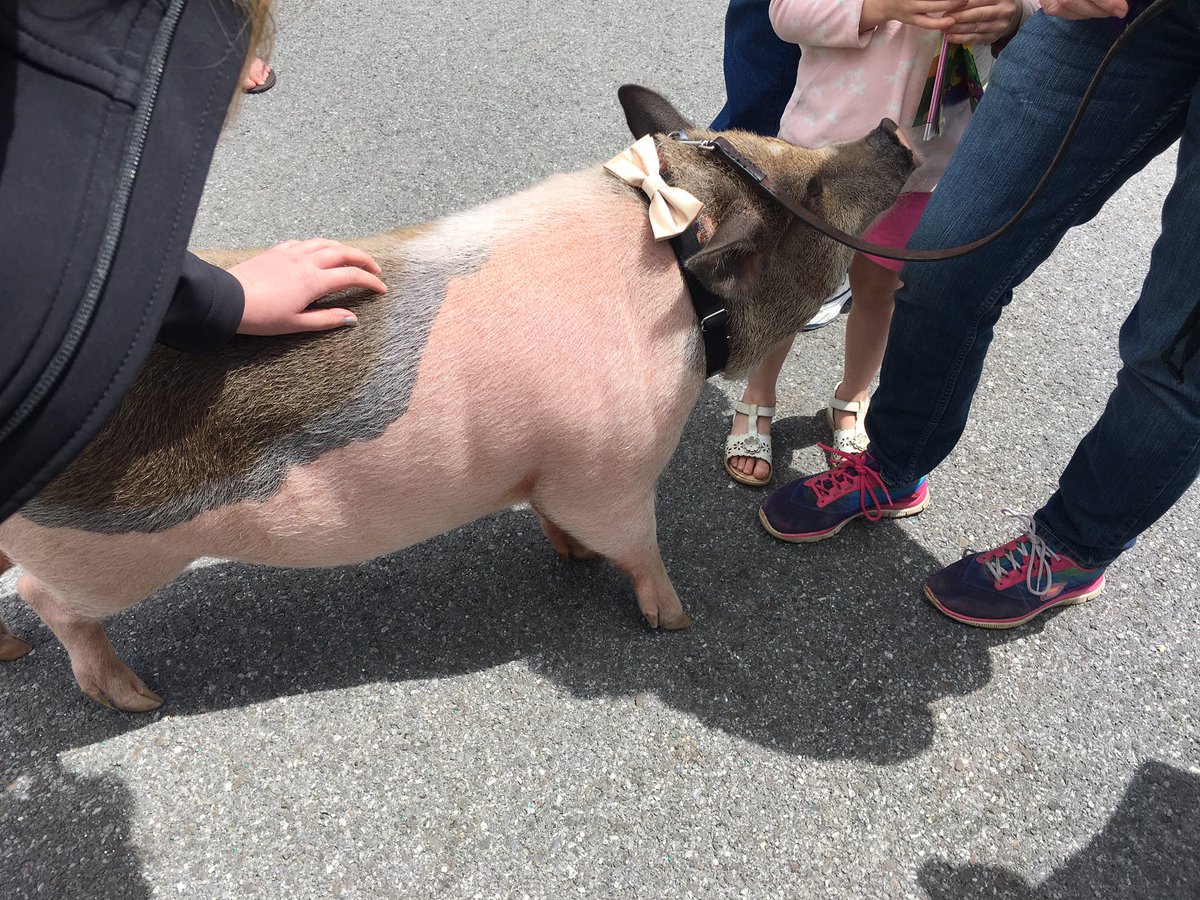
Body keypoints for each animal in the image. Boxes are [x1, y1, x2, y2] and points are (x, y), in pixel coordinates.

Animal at [0, 87, 915, 711]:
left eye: (780, 140)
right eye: (810, 196)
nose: (896, 130)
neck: (686, 303)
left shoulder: (553, 476)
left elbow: (558, 525)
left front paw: (571, 561)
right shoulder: (610, 470)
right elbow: (637, 546)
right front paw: (678, 620)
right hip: (109, 559)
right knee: (52, 604)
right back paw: (136, 698)